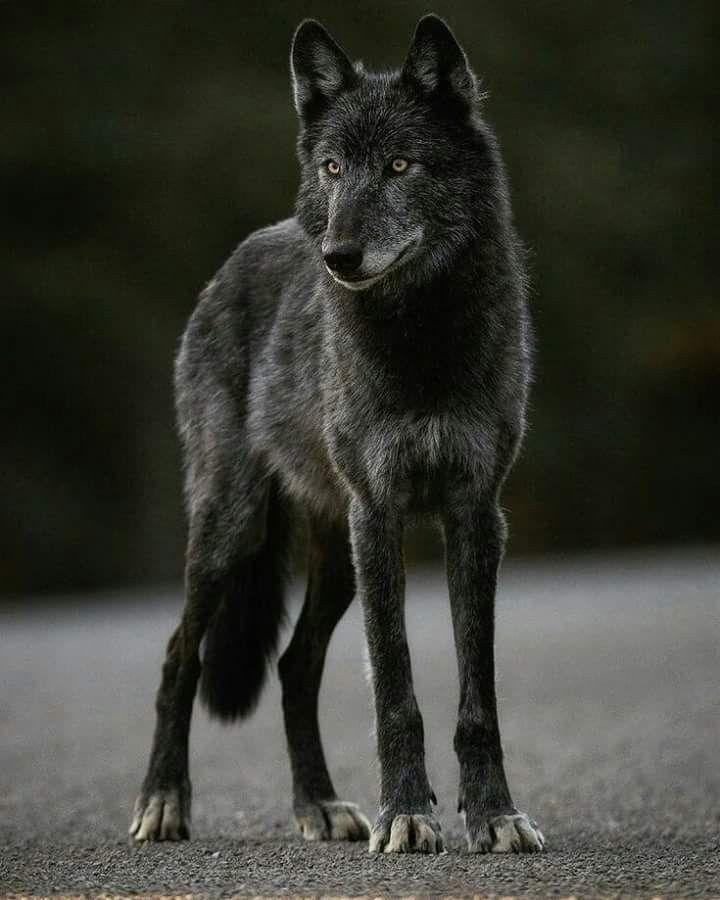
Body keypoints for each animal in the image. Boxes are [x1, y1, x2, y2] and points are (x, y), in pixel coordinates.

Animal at [131, 15, 544, 856]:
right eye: (331, 167)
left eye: (399, 164)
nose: (338, 257)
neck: (419, 338)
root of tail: (244, 251)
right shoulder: (380, 511)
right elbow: (395, 685)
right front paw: (408, 814)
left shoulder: (475, 513)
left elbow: (476, 693)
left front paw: (491, 815)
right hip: (234, 529)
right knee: (179, 654)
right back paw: (163, 801)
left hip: (335, 552)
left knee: (294, 666)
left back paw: (318, 805)